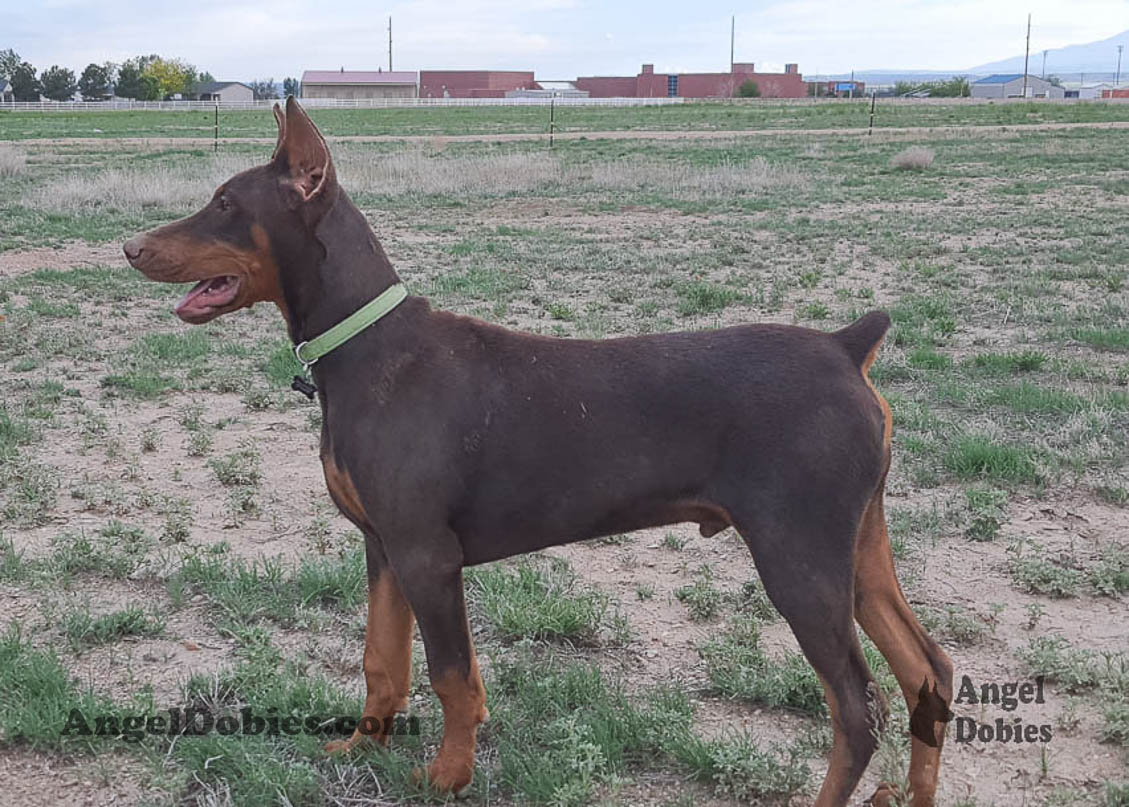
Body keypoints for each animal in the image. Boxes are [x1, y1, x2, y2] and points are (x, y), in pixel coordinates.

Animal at [123, 97, 952, 803]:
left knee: (858, 707)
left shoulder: (426, 553)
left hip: (797, 553)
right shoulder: (383, 545)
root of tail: (846, 347)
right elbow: (381, 661)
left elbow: (452, 674)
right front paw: (361, 748)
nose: (128, 245)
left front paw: (447, 776)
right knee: (928, 670)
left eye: (225, 203)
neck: (364, 347)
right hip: (858, 542)